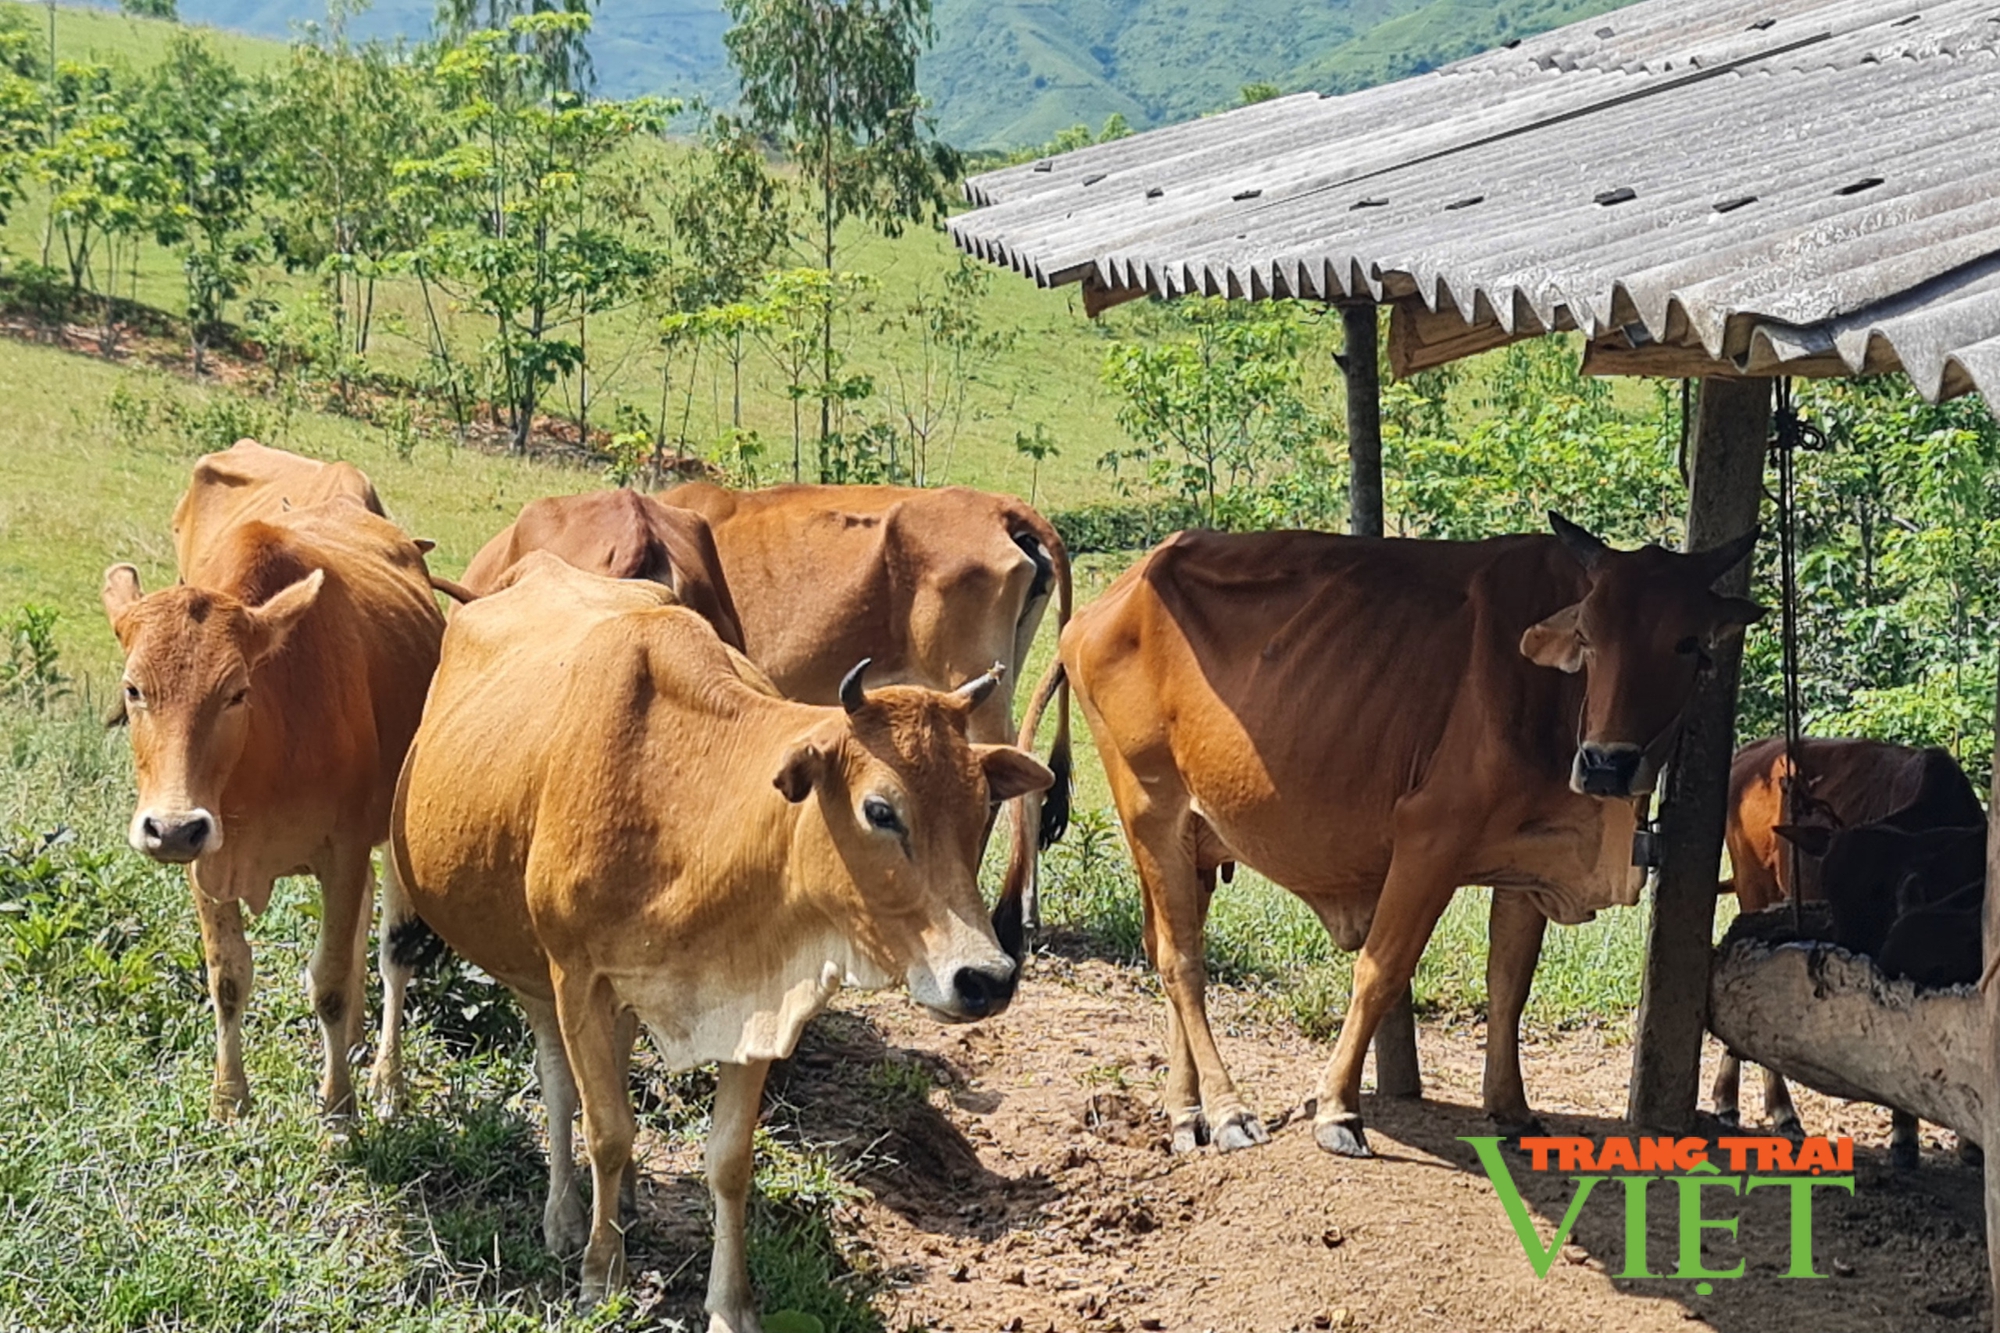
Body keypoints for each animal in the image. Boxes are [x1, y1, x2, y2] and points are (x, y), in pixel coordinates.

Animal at [103, 448, 444, 1120]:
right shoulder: (207, 859)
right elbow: (228, 975)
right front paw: (228, 1100)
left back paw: (386, 1078)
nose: (171, 828)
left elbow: (330, 980)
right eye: (134, 689)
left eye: (237, 691)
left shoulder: (343, 852)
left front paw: (339, 1108)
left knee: (394, 950)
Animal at [386, 552, 1048, 1320]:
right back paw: (565, 1217)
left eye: (981, 807)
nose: (986, 977)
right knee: (558, 1084)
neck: (685, 807)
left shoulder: (757, 998)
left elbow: (728, 1161)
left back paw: (625, 1201)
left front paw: (731, 1303)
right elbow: (606, 1129)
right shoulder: (576, 975)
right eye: (880, 810)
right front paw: (601, 1273)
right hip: (520, 957)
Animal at [1008, 512, 1760, 1160]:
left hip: (1191, 836)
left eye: (1688, 644)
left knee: (1164, 943)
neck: (1552, 700)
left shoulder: (1526, 862)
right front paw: (1339, 1109)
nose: (1607, 761)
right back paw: (1225, 1111)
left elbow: (1508, 984)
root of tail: (1112, 598)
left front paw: (1511, 1107)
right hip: (1151, 808)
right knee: (1182, 961)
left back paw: (1184, 1111)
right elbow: (1381, 969)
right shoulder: (1430, 837)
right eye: (1592, 639)